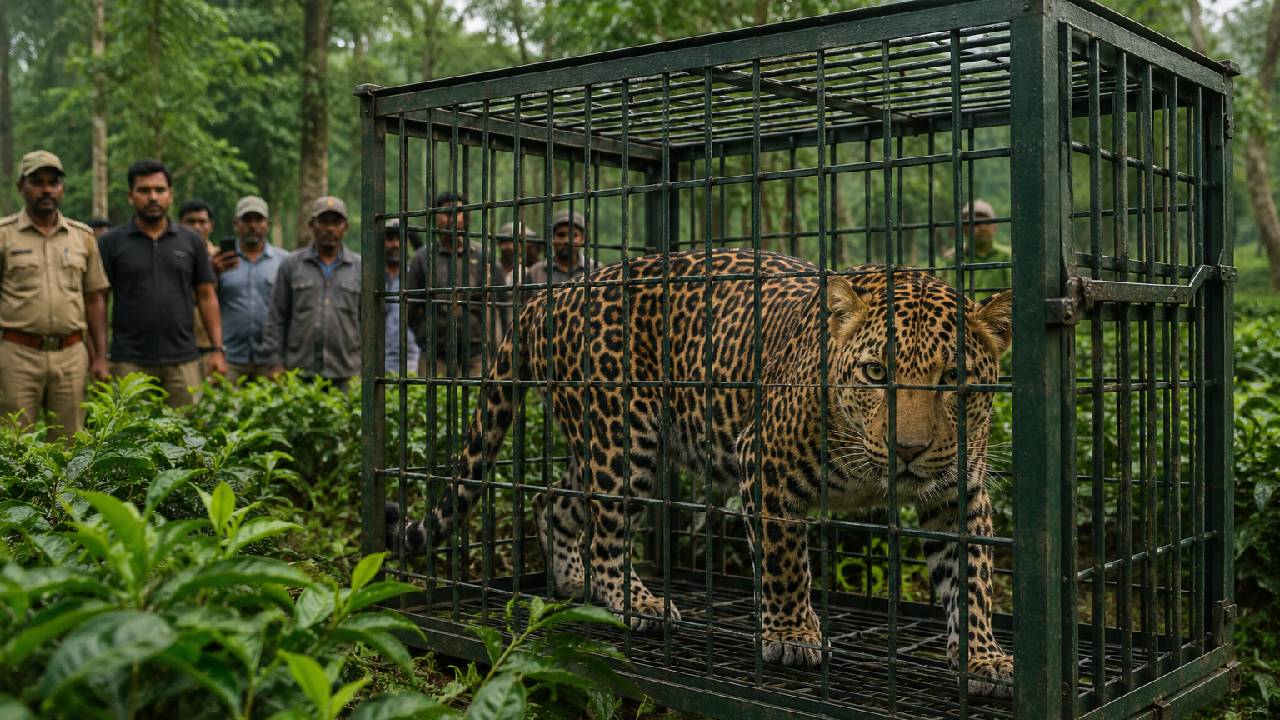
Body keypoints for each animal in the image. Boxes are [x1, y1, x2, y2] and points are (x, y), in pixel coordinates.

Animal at [387, 247, 1015, 696]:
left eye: (954, 379)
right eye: (876, 372)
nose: (908, 449)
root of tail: (547, 297)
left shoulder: (958, 494)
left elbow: (973, 578)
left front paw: (982, 657)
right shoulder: (766, 464)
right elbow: (786, 564)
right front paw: (792, 636)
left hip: (601, 445)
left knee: (553, 500)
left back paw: (572, 581)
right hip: (623, 438)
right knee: (606, 530)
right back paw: (636, 604)